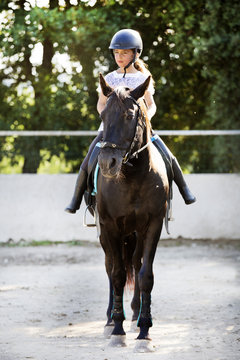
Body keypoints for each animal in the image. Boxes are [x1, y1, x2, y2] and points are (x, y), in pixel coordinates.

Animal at [95, 73, 169, 352]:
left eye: (129, 115)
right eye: (103, 115)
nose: (107, 163)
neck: (133, 177)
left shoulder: (153, 226)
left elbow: (145, 275)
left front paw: (144, 331)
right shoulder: (110, 227)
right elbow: (116, 274)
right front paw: (117, 330)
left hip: (136, 233)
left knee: (136, 264)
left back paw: (136, 314)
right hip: (106, 235)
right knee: (110, 267)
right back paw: (110, 319)